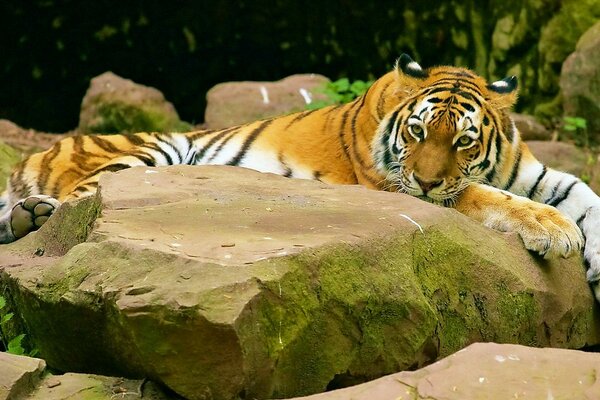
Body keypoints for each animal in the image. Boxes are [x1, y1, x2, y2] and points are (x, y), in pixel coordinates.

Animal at [3, 54, 600, 302]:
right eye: (415, 132)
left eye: (463, 141)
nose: (428, 185)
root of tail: (36, 154)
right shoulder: (394, 184)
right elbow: (483, 195)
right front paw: (555, 231)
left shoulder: (536, 173)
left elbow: (585, 195)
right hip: (152, 151)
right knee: (76, 206)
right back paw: (36, 215)